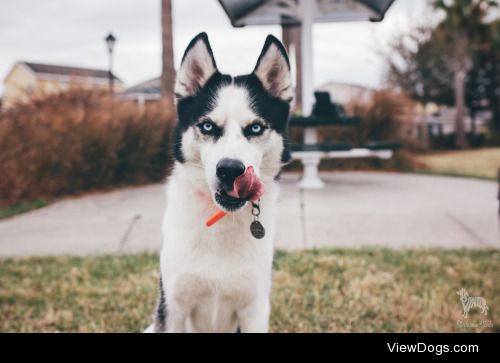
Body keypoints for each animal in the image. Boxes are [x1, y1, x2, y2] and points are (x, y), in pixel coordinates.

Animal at [146, 32, 292, 334]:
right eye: (208, 126)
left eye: (256, 128)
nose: (230, 170)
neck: (221, 221)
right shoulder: (172, 307)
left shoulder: (254, 311)